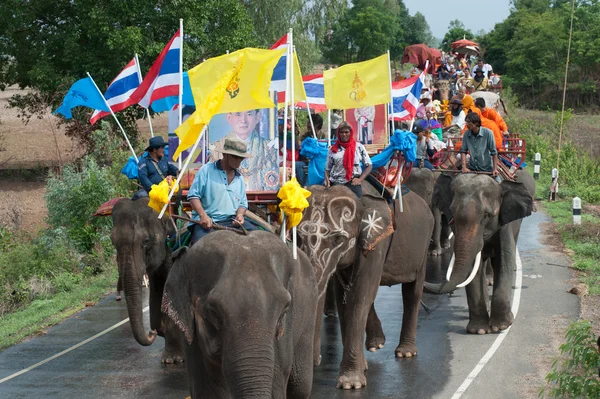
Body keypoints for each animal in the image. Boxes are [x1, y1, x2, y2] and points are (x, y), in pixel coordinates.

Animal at [298, 184, 432, 390]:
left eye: (339, 239)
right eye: (298, 236)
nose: (316, 361)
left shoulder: (376, 240)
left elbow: (360, 296)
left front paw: (350, 384)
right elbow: (344, 299)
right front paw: (361, 369)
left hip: (423, 247)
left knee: (412, 292)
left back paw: (405, 352)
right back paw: (376, 345)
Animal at [422, 171, 536, 334]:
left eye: (487, 216)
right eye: (453, 216)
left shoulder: (504, 224)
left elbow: (503, 262)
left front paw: (500, 326)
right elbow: (472, 270)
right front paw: (479, 330)